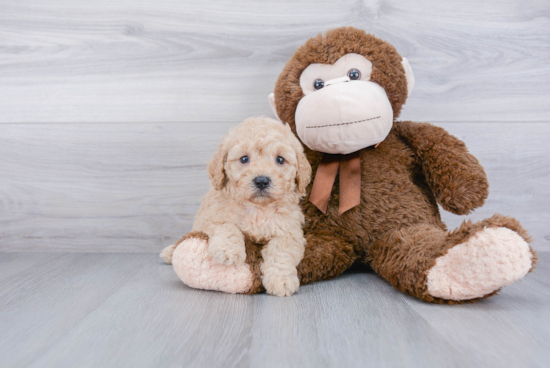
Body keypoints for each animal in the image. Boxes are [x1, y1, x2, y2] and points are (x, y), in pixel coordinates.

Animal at [162, 116, 312, 298]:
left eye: (280, 160)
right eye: (244, 159)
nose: (261, 181)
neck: (257, 208)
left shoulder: (289, 232)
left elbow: (281, 253)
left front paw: (281, 281)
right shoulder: (212, 215)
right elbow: (227, 227)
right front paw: (228, 251)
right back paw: (170, 252)